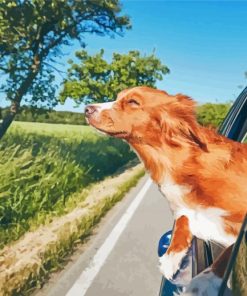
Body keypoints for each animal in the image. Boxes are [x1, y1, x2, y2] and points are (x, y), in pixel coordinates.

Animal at [85, 85, 247, 294]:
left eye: (133, 102)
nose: (87, 109)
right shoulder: (182, 207)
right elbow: (182, 221)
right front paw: (171, 257)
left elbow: (230, 250)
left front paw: (203, 281)